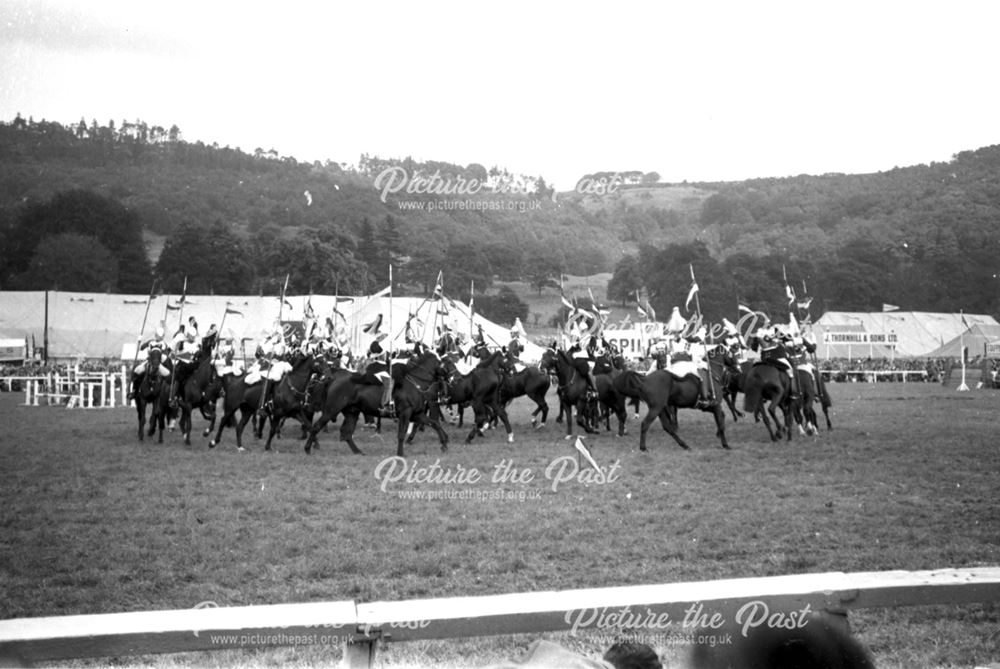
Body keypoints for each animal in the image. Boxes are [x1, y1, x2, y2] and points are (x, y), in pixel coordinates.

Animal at [604, 352, 732, 452]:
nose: (736, 367)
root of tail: (645, 379)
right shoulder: (716, 405)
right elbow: (721, 422)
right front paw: (725, 444)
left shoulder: (709, 407)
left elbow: (721, 418)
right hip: (656, 408)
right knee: (645, 424)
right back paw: (643, 447)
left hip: (659, 409)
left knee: (667, 427)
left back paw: (684, 445)